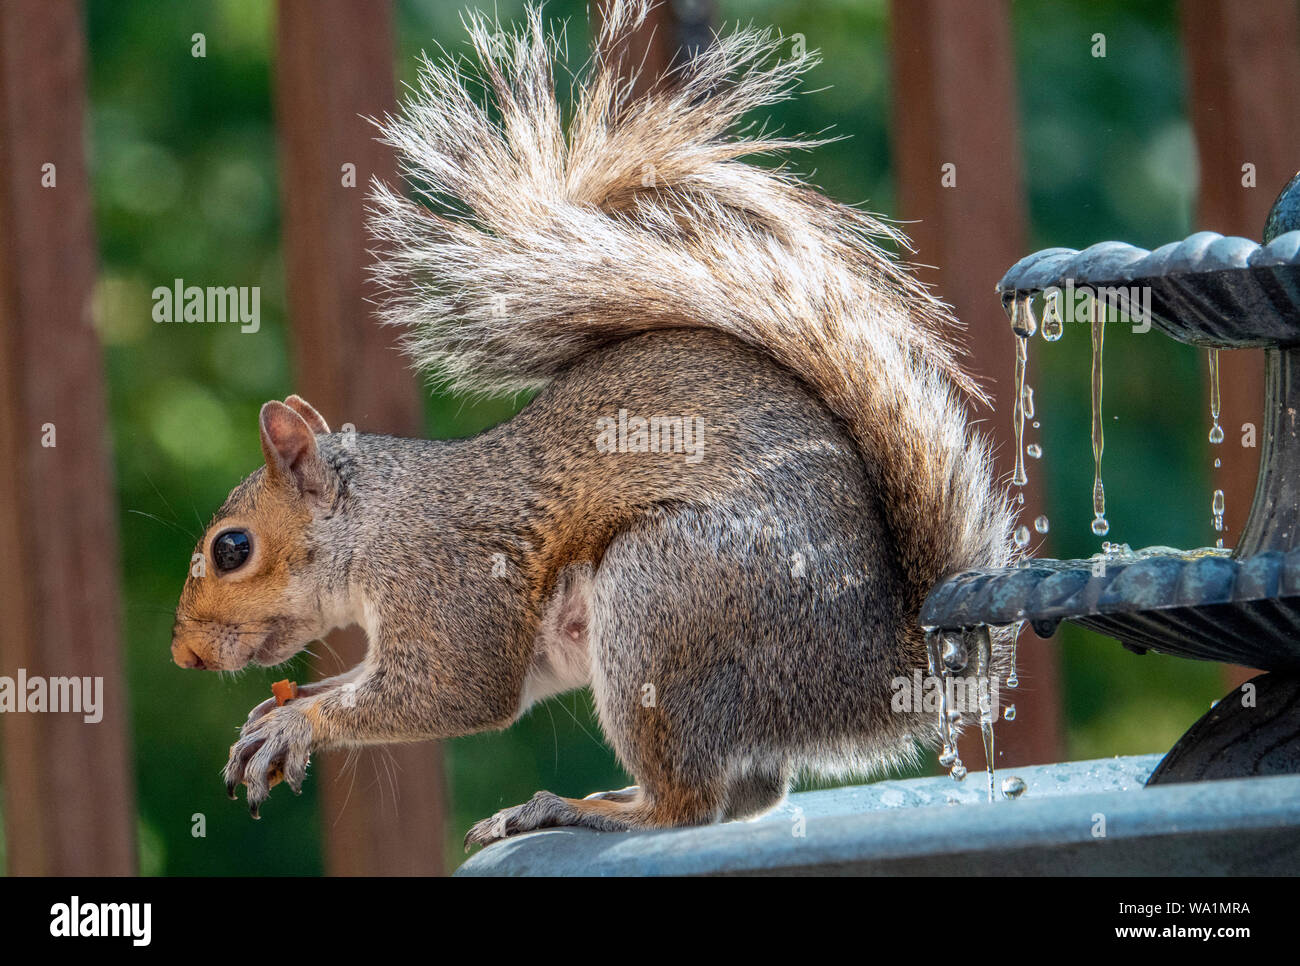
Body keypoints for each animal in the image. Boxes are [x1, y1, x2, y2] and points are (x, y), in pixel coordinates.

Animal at [167, 0, 1013, 847]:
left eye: (232, 549)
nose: (183, 656)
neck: (378, 523)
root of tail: (875, 677)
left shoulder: (445, 581)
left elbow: (456, 690)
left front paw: (297, 724)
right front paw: (284, 709)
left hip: (663, 600)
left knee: (689, 805)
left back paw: (579, 807)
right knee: (751, 795)